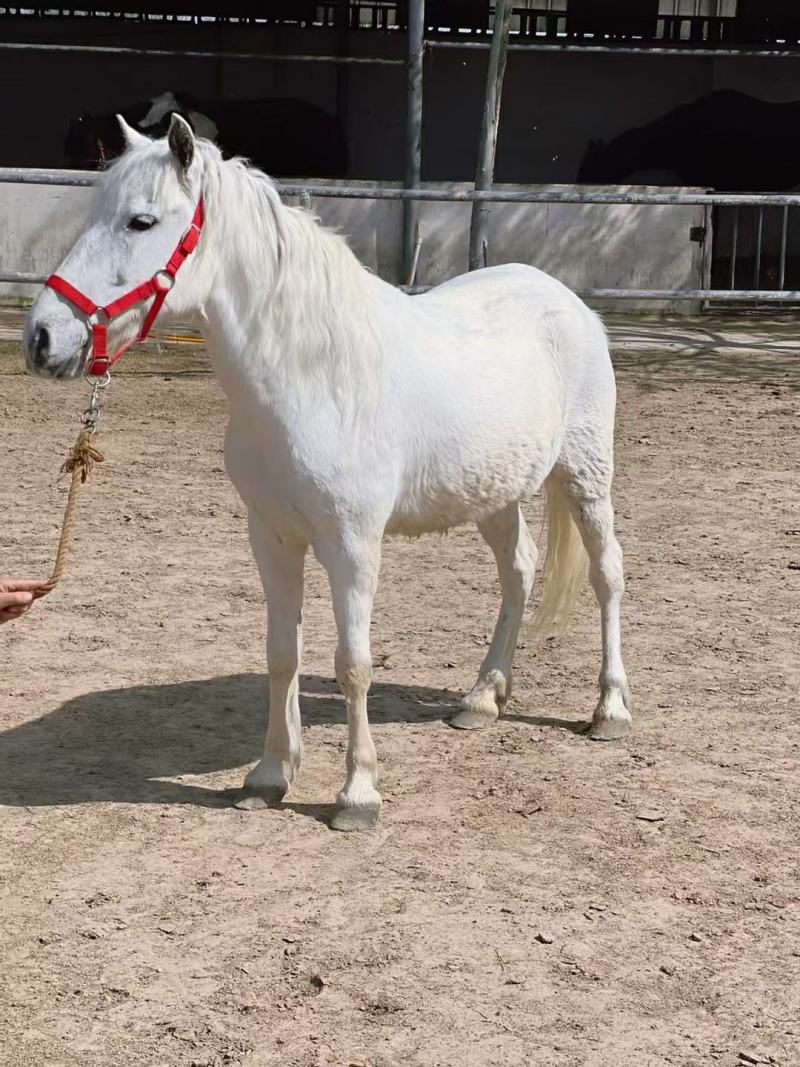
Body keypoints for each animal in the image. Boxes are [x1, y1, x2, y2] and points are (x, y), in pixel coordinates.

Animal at [25, 115, 630, 831]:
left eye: (141, 221)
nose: (41, 338)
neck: (311, 378)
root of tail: (564, 298)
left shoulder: (351, 544)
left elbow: (353, 664)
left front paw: (357, 794)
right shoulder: (272, 538)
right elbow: (282, 654)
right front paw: (268, 775)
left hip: (586, 476)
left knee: (607, 573)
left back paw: (610, 709)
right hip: (493, 494)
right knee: (519, 571)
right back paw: (482, 699)